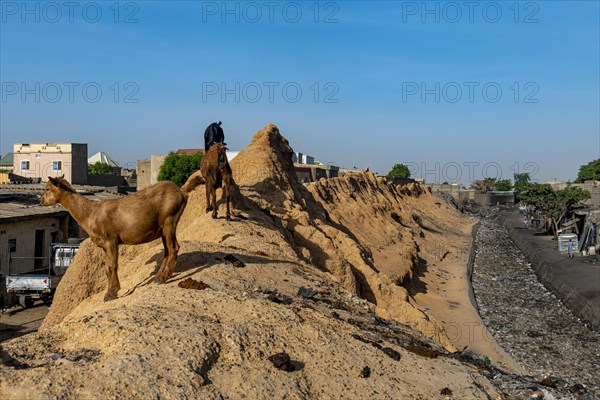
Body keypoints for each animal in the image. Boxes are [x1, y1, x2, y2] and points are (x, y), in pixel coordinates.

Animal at [41, 172, 206, 300]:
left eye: (48, 188)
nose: (41, 200)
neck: (90, 213)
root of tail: (182, 191)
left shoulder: (110, 240)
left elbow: (112, 266)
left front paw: (111, 294)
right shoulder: (104, 245)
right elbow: (107, 268)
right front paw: (111, 291)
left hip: (170, 221)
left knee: (174, 248)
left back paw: (163, 278)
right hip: (163, 229)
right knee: (167, 250)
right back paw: (159, 276)